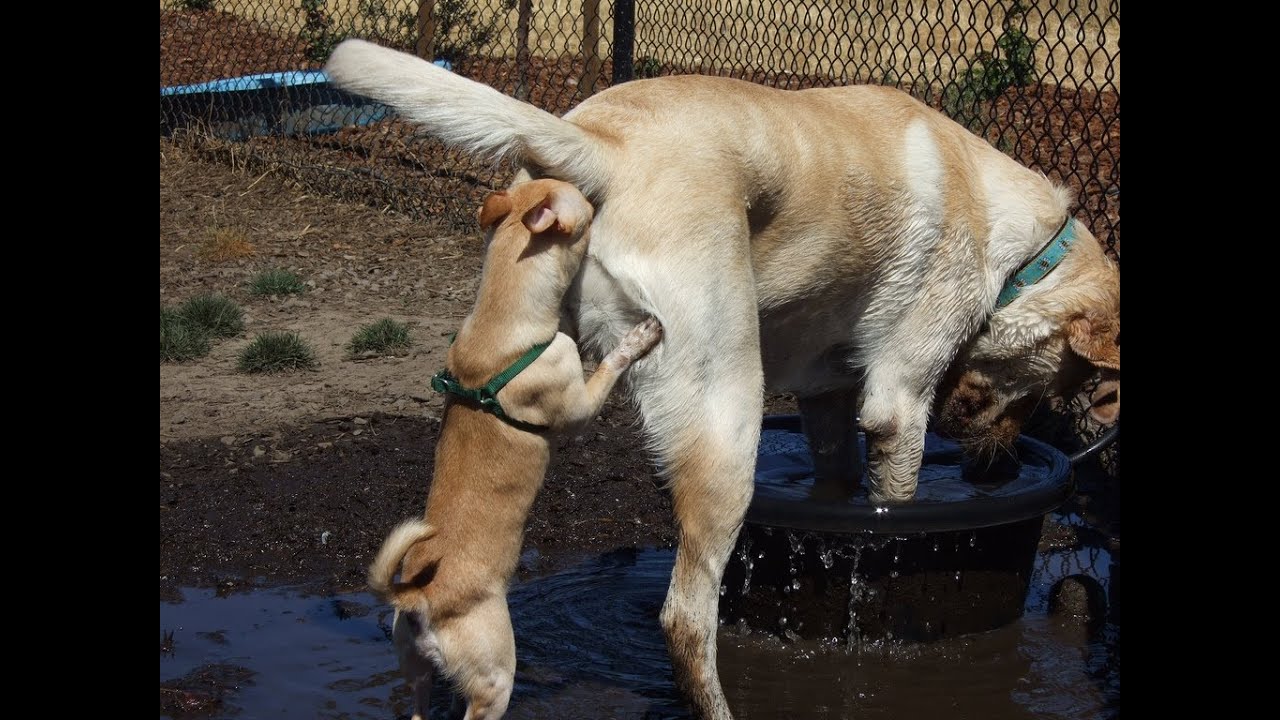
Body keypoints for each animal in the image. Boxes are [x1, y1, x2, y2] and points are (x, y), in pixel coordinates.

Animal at [363, 178, 655, 717]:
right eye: (588, 206)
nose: (600, 194)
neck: (502, 321)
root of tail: (420, 601)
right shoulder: (581, 405)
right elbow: (610, 362)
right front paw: (639, 336)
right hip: (495, 678)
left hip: (416, 672)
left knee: (417, 703)